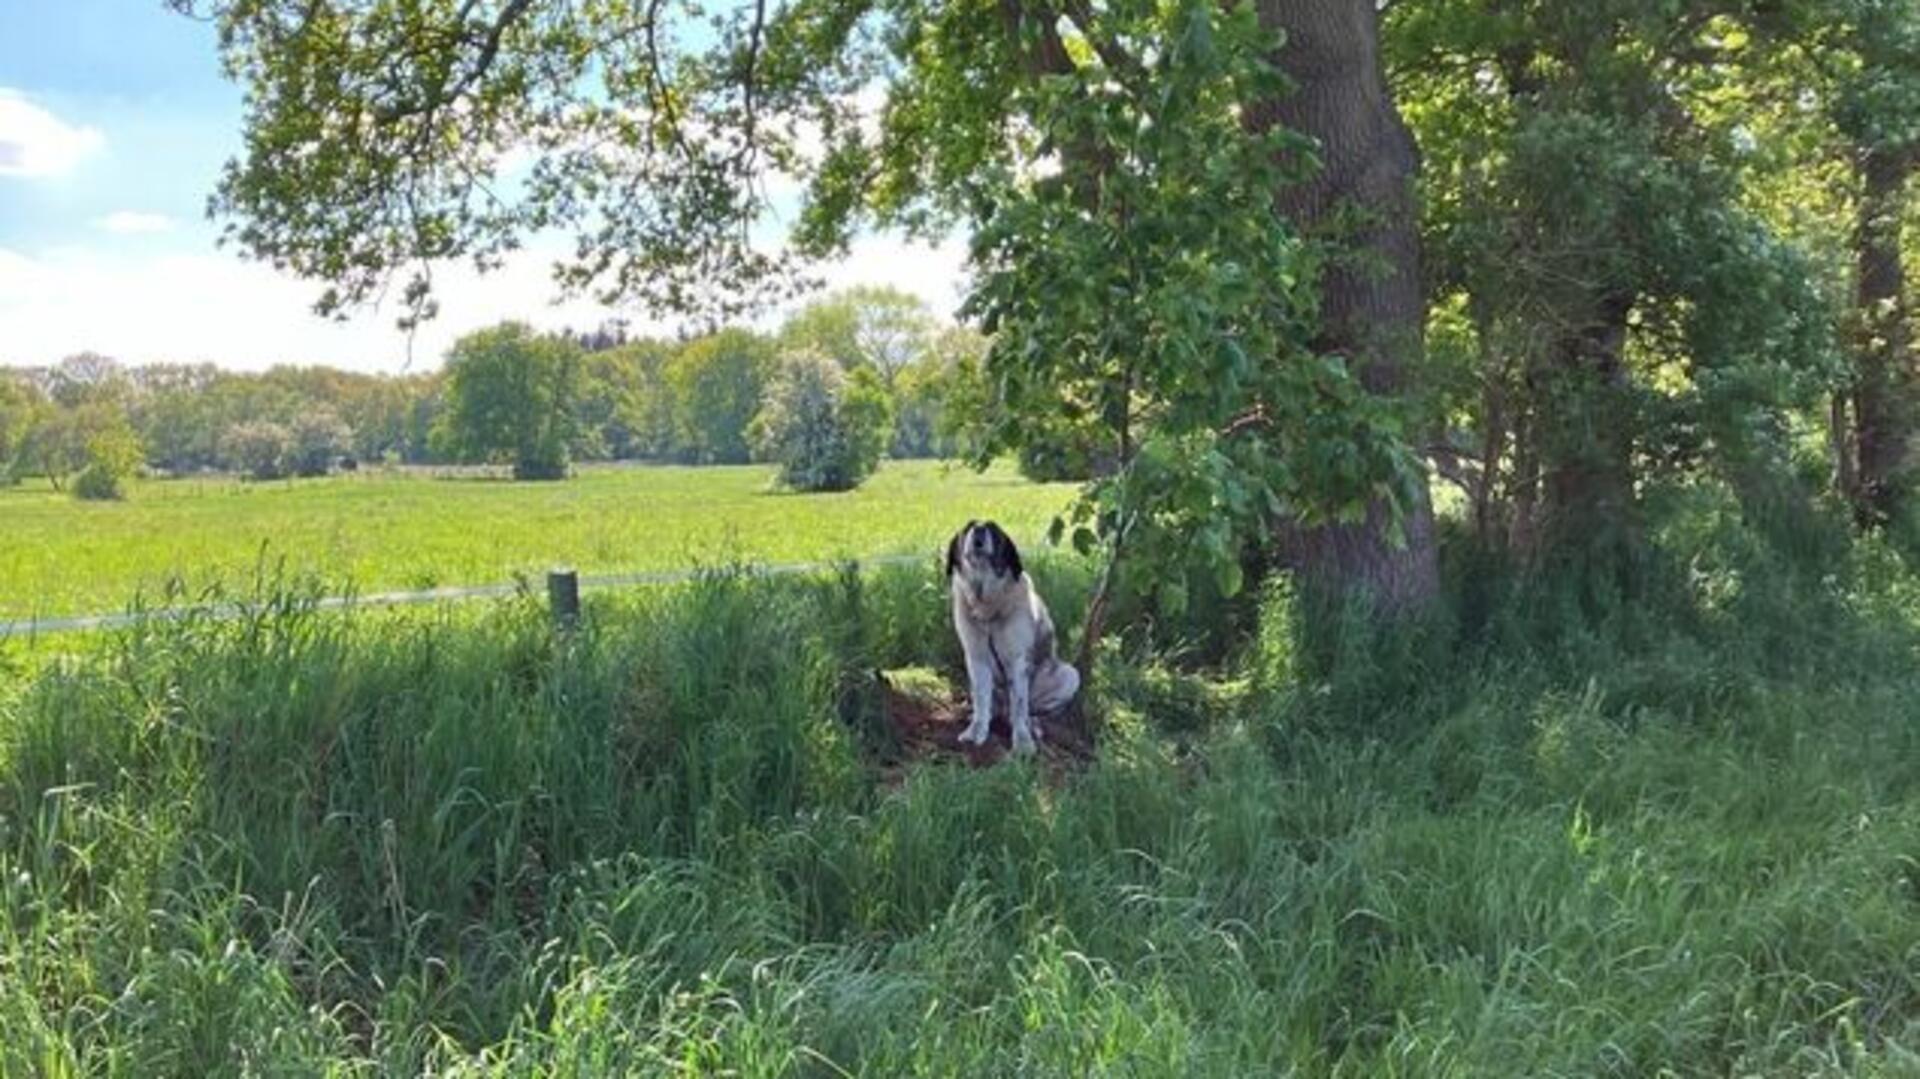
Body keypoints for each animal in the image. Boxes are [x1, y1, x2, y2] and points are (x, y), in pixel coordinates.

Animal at [944, 518, 1082, 752]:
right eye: (969, 527)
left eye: (993, 530)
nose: (979, 530)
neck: (987, 602)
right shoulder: (976, 658)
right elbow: (981, 698)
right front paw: (976, 731)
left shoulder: (1017, 660)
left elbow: (1019, 704)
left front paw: (1023, 741)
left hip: (1069, 675)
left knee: (1030, 708)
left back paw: (1032, 723)